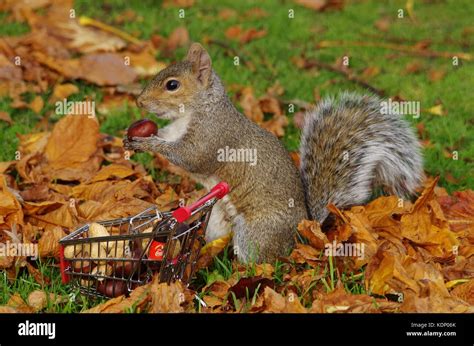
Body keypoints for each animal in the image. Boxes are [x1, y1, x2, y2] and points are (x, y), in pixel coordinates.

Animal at [122, 42, 422, 262]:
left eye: (172, 85)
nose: (139, 101)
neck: (196, 111)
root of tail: (302, 232)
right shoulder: (174, 131)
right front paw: (132, 138)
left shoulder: (212, 137)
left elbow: (190, 158)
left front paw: (148, 144)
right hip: (217, 220)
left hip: (256, 232)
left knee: (263, 261)